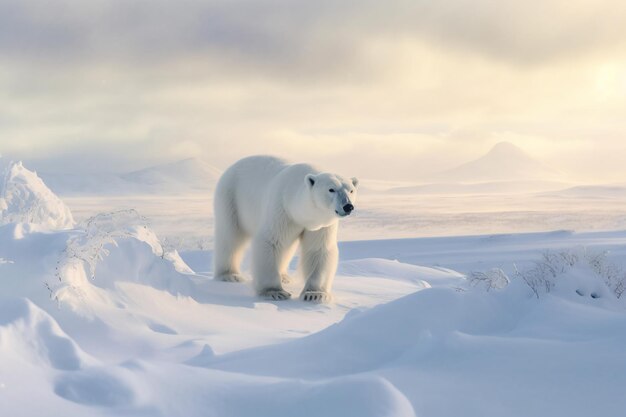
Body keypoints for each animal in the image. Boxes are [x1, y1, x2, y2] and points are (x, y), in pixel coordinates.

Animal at [211, 154, 356, 300]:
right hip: (231, 198)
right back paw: (230, 275)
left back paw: (284, 277)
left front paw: (314, 294)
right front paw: (275, 292)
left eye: (351, 190)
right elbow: (271, 241)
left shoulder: (321, 225)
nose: (348, 206)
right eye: (331, 189)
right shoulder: (282, 208)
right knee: (230, 236)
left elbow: (318, 248)